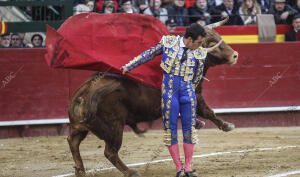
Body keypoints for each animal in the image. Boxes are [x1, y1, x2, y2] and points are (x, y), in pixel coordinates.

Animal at [67, 17, 238, 177]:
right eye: (212, 42)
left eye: (218, 36)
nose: (235, 55)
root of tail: (84, 92)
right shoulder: (197, 96)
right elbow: (208, 111)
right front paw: (226, 125)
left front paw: (201, 123)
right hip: (114, 127)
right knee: (110, 152)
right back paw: (130, 172)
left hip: (81, 127)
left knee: (73, 141)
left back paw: (80, 170)